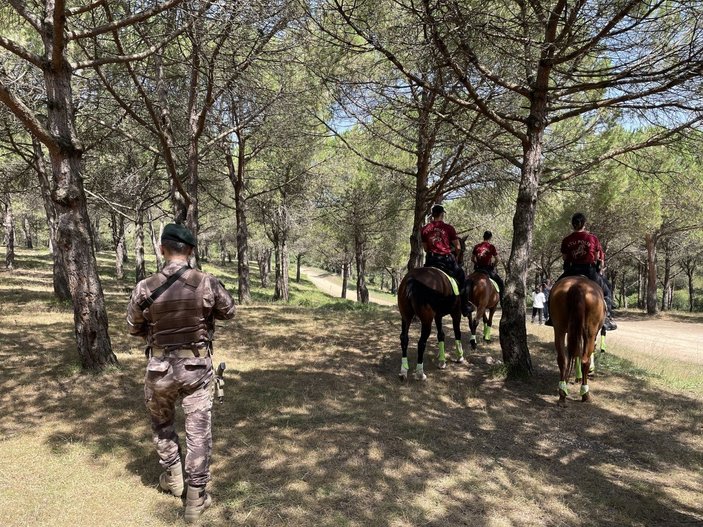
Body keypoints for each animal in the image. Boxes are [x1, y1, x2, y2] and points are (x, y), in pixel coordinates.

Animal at [396, 254, 468, 382]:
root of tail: (412, 279)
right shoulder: (456, 313)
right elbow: (457, 333)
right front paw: (460, 356)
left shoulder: (438, 316)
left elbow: (441, 335)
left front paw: (442, 361)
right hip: (427, 320)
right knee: (421, 342)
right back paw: (420, 373)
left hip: (406, 316)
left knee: (404, 338)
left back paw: (404, 370)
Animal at [552, 274, 604, 406]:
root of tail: (578, 285)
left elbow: (576, 353)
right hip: (590, 332)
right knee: (585, 360)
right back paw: (585, 394)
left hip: (559, 328)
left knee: (563, 359)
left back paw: (562, 394)